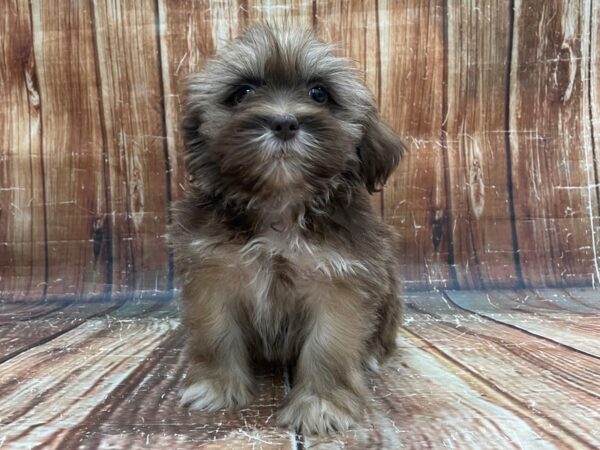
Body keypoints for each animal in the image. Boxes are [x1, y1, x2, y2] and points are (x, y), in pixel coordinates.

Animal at [171, 22, 406, 434]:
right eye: (243, 93)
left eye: (319, 93)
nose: (283, 122)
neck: (280, 203)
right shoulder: (213, 274)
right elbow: (216, 331)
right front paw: (216, 384)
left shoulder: (340, 280)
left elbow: (329, 345)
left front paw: (322, 404)